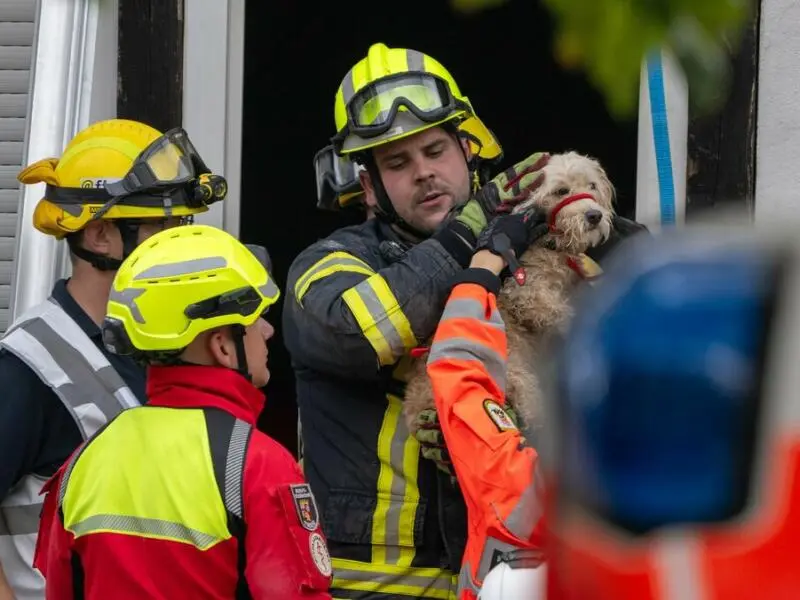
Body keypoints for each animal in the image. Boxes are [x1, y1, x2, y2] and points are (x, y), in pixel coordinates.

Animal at [404, 152, 616, 436]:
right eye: (561, 191)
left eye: (591, 186)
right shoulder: (527, 292)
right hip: (518, 377)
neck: (549, 245)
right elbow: (561, 311)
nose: (594, 215)